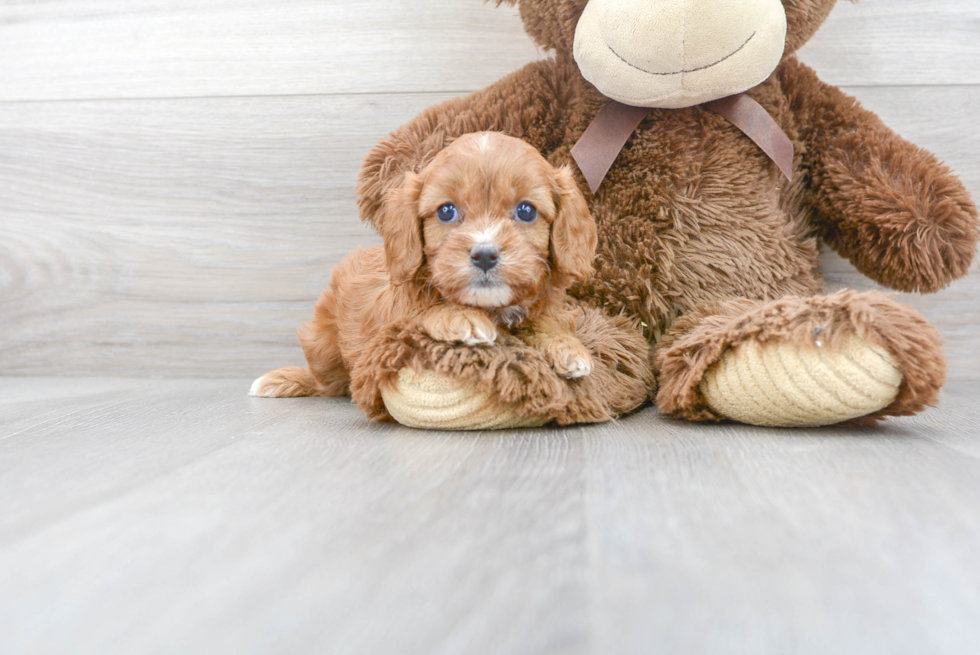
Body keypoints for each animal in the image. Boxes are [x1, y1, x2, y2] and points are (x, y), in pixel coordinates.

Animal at [251, 132, 596, 400]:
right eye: (446, 211)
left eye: (526, 211)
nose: (485, 254)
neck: (490, 308)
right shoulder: (390, 321)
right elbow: (422, 311)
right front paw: (461, 318)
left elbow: (548, 322)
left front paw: (569, 348)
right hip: (323, 343)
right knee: (326, 382)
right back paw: (283, 379)